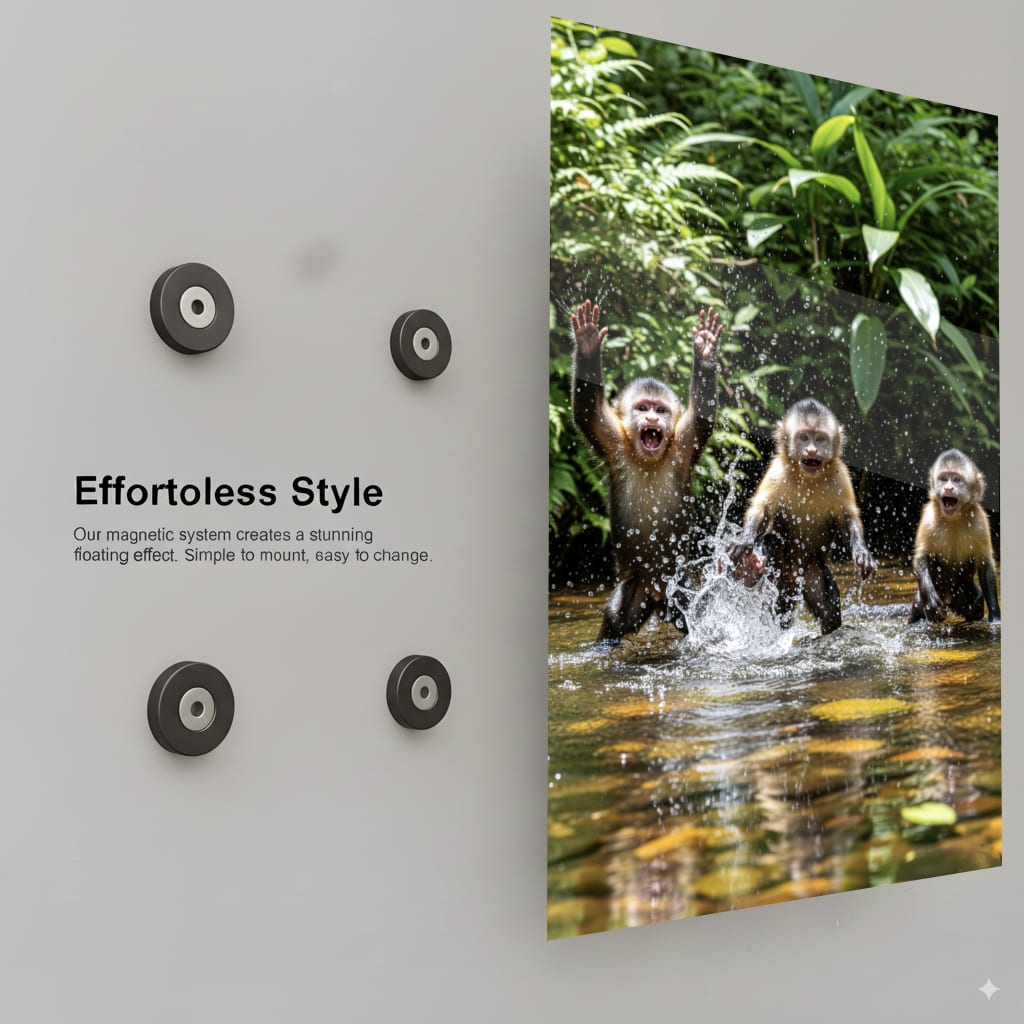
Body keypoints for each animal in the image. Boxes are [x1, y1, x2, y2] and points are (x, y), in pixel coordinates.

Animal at [570, 299, 724, 643]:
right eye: (642, 408)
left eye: (660, 410)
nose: (652, 420)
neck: (648, 459)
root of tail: (656, 594)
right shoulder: (614, 441)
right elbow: (587, 412)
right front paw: (587, 344)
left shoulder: (683, 444)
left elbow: (703, 415)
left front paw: (705, 351)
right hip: (636, 585)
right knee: (616, 617)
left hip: (678, 583)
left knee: (694, 609)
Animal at [724, 398, 876, 635]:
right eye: (804, 437)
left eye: (820, 439)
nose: (812, 449)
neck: (808, 478)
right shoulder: (777, 470)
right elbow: (762, 511)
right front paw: (745, 539)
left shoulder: (840, 475)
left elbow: (848, 518)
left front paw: (861, 551)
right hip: (780, 572)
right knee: (772, 546)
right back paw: (749, 571)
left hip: (812, 572)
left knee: (827, 606)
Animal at [908, 449, 1000, 625]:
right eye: (944, 479)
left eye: (957, 480)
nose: (949, 488)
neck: (954, 518)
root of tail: (948, 599)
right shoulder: (929, 517)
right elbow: (921, 557)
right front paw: (930, 601)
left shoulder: (980, 520)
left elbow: (985, 564)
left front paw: (995, 615)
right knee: (918, 603)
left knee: (976, 605)